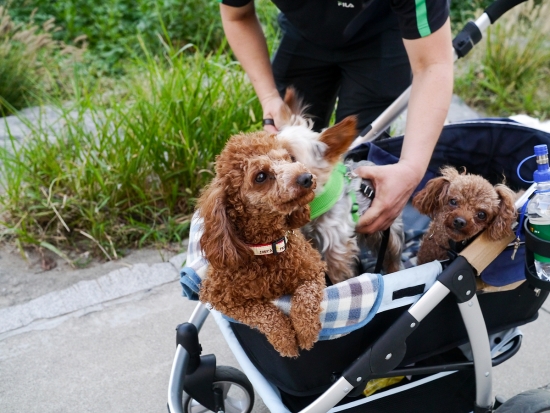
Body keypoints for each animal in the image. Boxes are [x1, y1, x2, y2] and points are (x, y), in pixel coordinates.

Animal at [197, 131, 327, 357]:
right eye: (260, 176)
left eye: (289, 159)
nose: (306, 177)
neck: (268, 249)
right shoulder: (220, 298)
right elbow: (264, 313)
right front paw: (285, 341)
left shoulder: (313, 269)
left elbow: (305, 297)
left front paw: (305, 332)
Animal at [276, 89, 404, 284]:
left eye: (291, 157)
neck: (315, 202)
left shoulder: (337, 244)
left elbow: (338, 273)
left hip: (388, 229)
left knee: (393, 252)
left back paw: (395, 271)